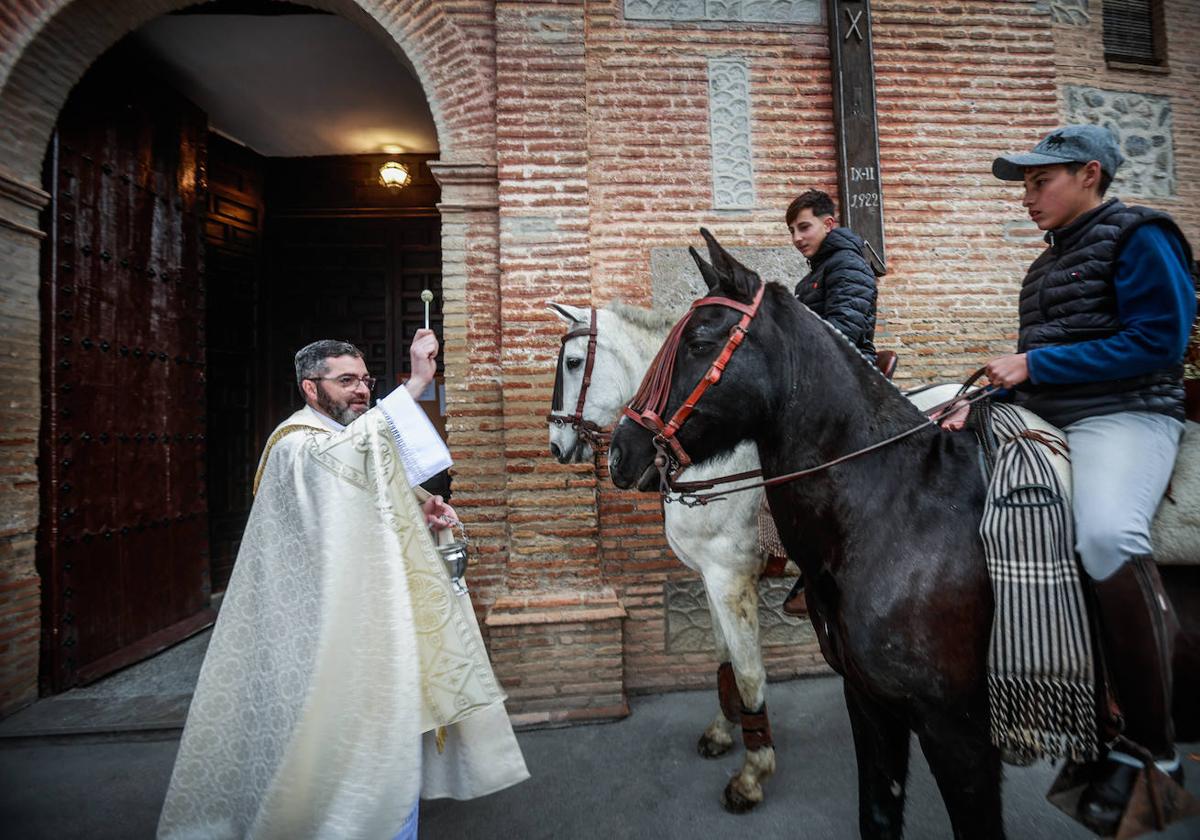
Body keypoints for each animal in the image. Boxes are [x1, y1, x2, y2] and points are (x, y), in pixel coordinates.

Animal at [609, 229, 1200, 840]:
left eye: (700, 341)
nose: (621, 453)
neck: (900, 507)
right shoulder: (864, 696)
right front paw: (726, 736)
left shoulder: (957, 733)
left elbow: (746, 670)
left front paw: (750, 773)